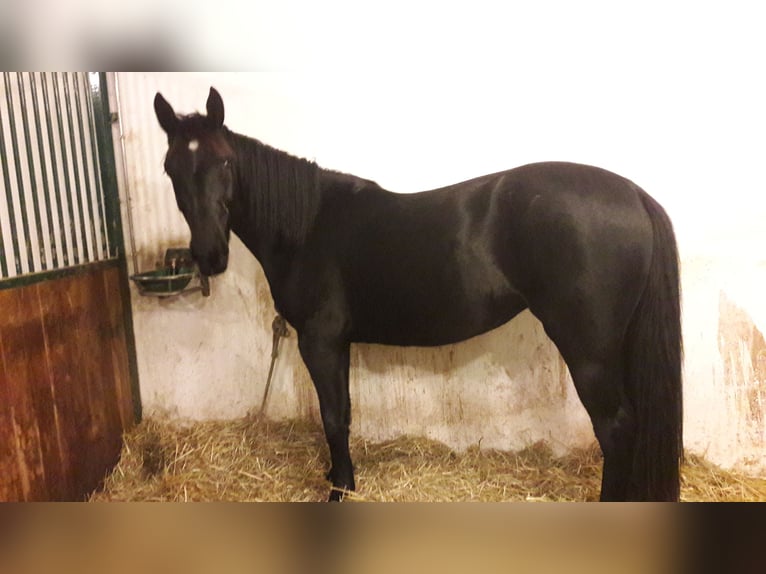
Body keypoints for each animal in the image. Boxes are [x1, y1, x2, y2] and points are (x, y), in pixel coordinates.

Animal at [153, 87, 683, 501]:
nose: (209, 255)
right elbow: (343, 414)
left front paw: (339, 489)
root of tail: (633, 193)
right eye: (170, 169)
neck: (307, 226)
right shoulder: (336, 343)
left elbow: (332, 418)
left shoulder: (320, 342)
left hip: (589, 350)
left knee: (615, 427)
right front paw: (339, 478)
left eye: (225, 161)